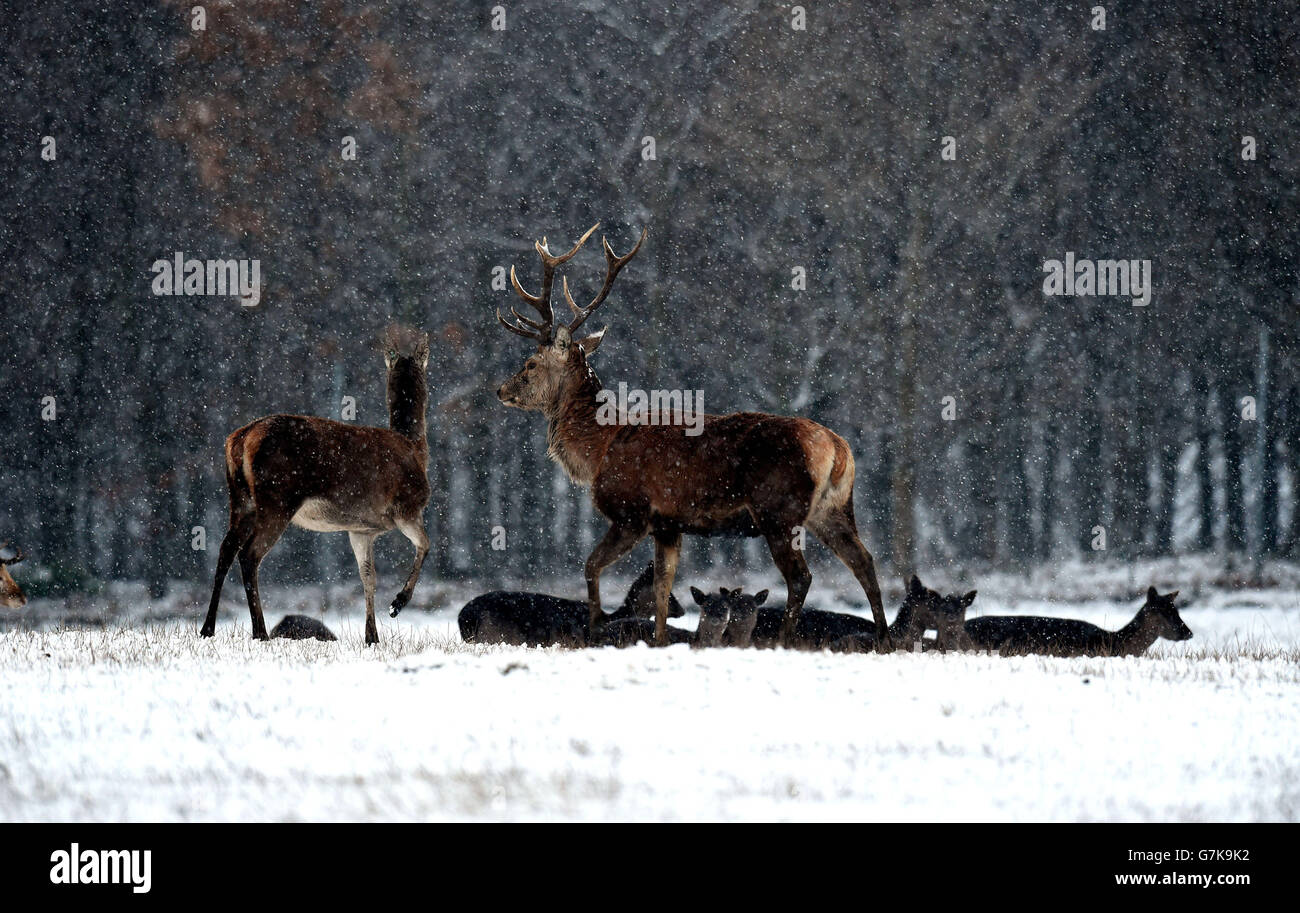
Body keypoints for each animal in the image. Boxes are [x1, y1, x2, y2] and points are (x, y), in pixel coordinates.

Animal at [201, 325, 432, 645]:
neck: (417, 450)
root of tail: (241, 438)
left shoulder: (360, 529)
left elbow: (368, 578)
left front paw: (371, 636)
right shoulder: (407, 508)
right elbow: (425, 545)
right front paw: (397, 603)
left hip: (240, 498)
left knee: (225, 550)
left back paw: (207, 628)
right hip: (277, 498)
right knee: (249, 555)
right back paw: (260, 632)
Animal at [495, 224, 889, 650]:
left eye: (531, 364)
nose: (501, 390)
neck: (599, 448)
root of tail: (838, 449)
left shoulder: (632, 511)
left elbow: (591, 565)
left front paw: (596, 631)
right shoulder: (668, 524)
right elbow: (663, 583)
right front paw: (660, 639)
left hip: (779, 510)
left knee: (801, 576)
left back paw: (786, 640)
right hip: (832, 508)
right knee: (864, 561)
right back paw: (884, 638)